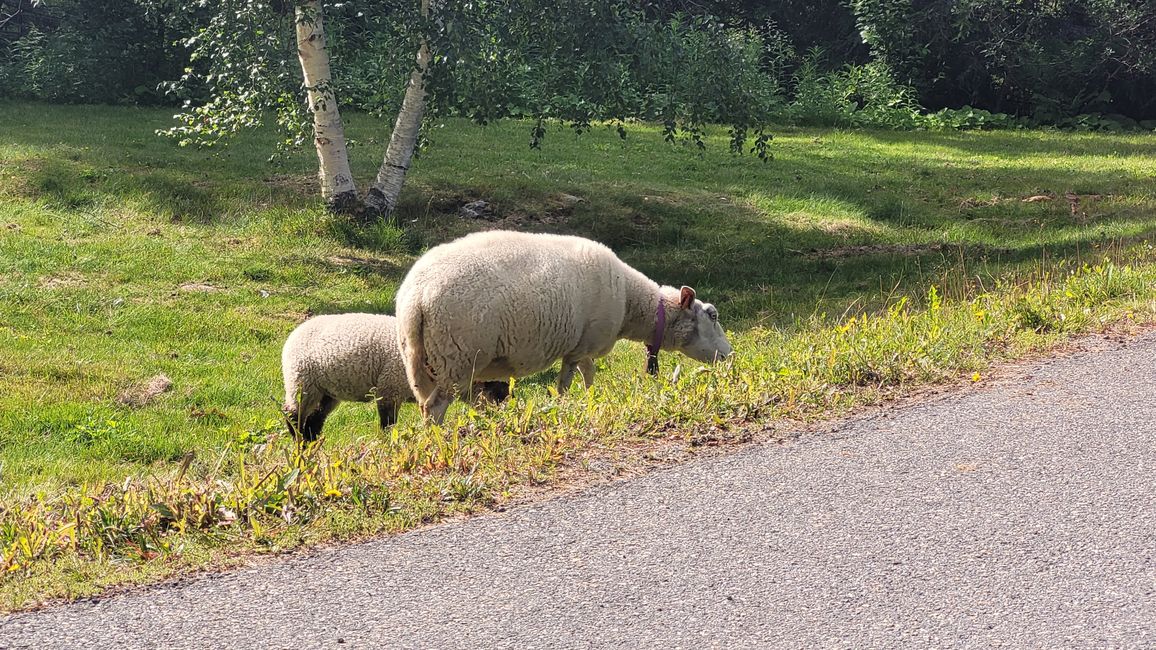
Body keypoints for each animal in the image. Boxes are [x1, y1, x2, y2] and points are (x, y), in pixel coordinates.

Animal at [279, 312, 506, 439]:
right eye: (494, 387)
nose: (502, 411)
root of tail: (295, 332)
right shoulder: (389, 388)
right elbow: (388, 424)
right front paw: (388, 443)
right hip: (301, 381)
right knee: (292, 412)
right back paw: (298, 440)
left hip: (327, 390)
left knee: (315, 418)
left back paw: (311, 443)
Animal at [397, 230, 735, 423]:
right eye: (712, 315)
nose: (730, 355)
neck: (632, 302)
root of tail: (415, 297)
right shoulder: (583, 344)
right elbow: (570, 381)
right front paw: (569, 404)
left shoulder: (582, 346)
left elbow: (588, 375)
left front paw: (589, 400)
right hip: (458, 355)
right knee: (435, 408)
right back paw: (437, 440)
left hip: (424, 360)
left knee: (442, 402)